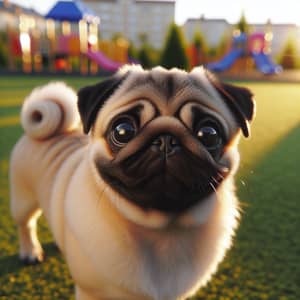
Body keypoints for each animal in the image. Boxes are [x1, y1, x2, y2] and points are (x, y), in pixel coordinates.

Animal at [10, 65, 255, 300]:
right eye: (123, 131)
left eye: (209, 134)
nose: (166, 140)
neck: (163, 230)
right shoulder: (92, 293)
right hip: (23, 201)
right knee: (26, 224)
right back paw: (30, 252)